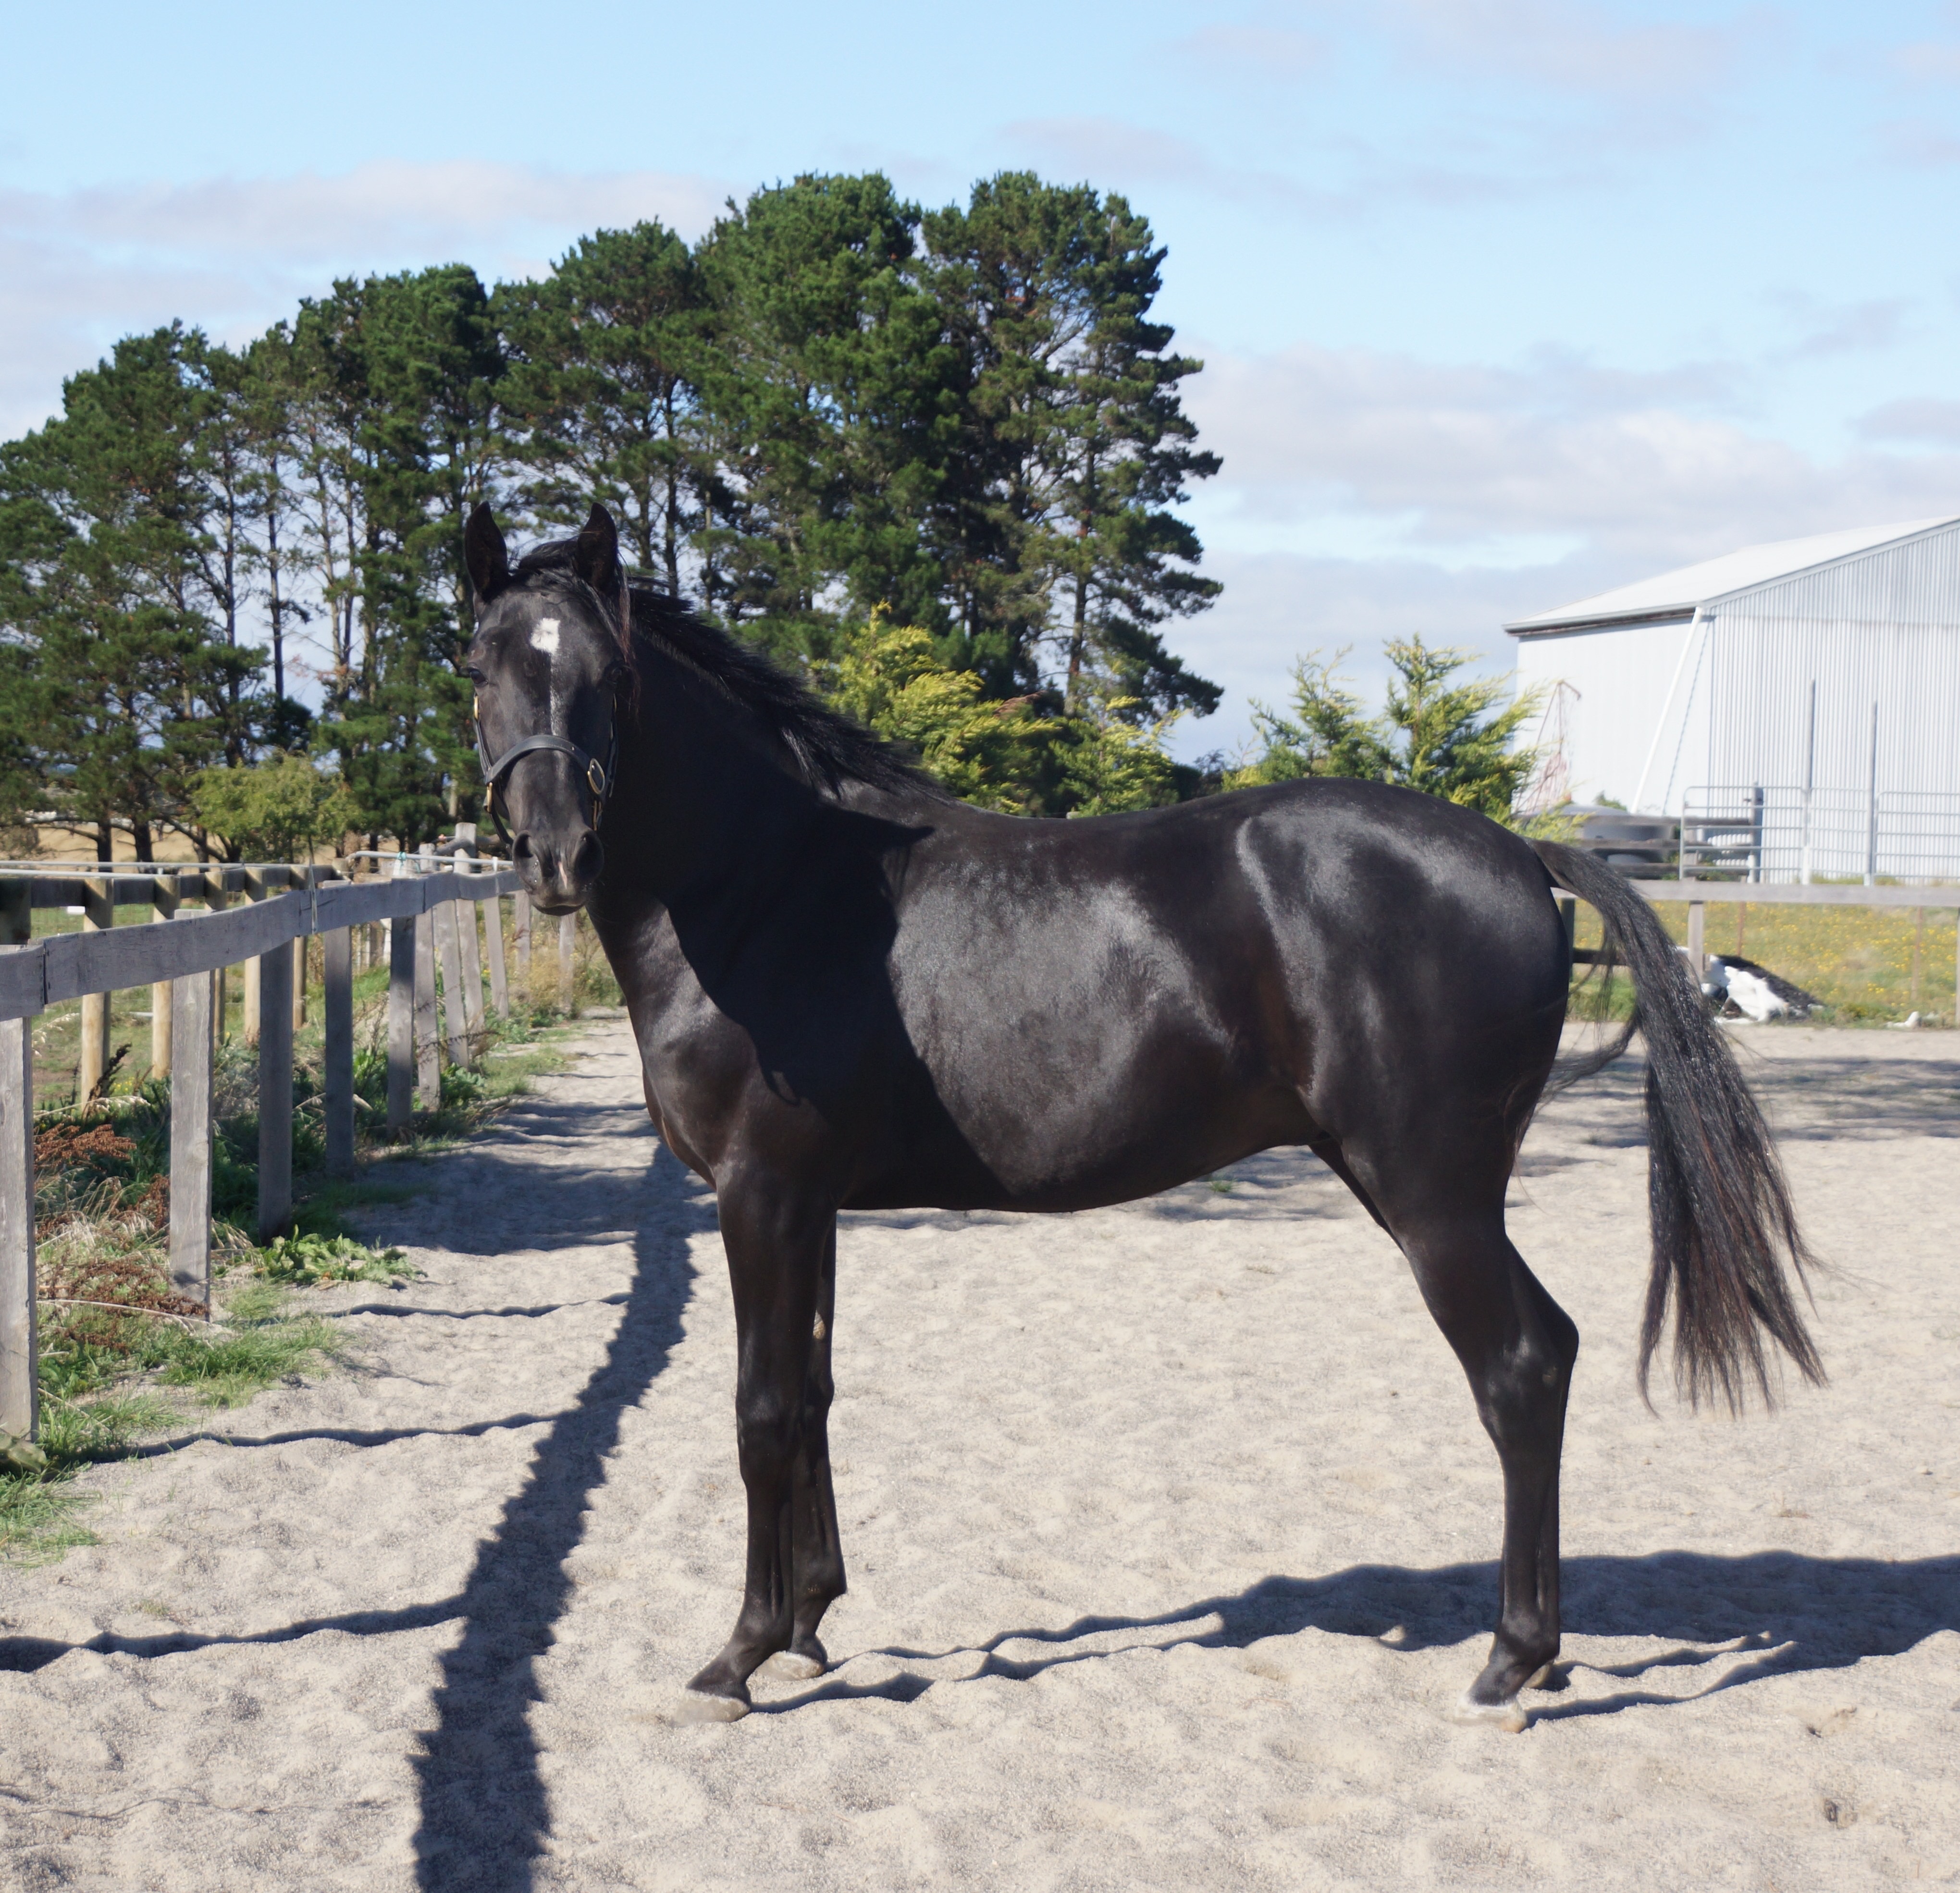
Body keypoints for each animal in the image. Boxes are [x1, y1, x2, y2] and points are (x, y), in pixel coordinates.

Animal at [460, 501, 1823, 1731]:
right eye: (481, 667)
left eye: (603, 675)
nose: (555, 856)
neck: (774, 889)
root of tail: (1518, 853)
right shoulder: (812, 1207)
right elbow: (814, 1392)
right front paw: (807, 1620)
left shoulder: (762, 1192)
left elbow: (758, 1410)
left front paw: (737, 1654)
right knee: (1550, 1350)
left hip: (1431, 1196)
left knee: (1520, 1368)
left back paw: (1508, 1662)